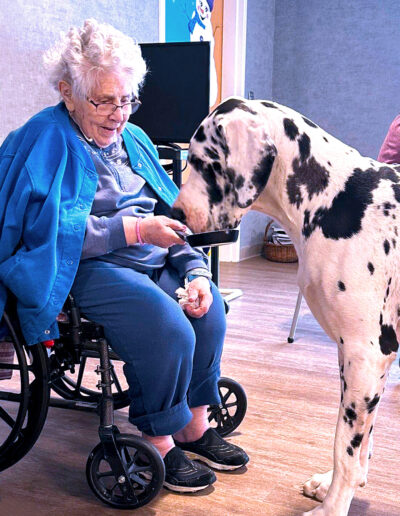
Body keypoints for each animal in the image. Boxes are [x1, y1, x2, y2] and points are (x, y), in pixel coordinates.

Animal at [173, 97, 400, 516]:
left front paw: (332, 507)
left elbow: (344, 445)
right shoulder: (367, 360)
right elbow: (362, 441)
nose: (175, 214)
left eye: (202, 161)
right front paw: (338, 484)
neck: (332, 200)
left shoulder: (364, 355)